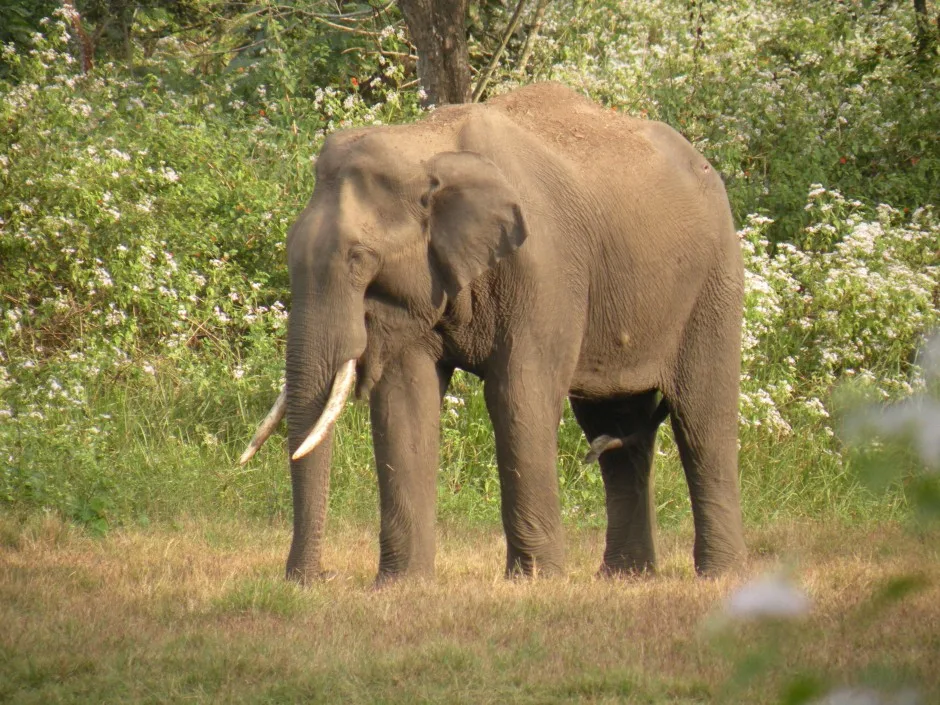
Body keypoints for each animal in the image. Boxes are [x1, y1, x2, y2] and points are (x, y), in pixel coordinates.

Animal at [240, 82, 747, 584]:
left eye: (358, 258)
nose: (318, 578)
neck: (425, 147)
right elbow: (405, 399)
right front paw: (401, 586)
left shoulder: (544, 268)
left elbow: (518, 394)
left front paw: (535, 581)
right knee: (615, 428)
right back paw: (626, 577)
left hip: (715, 281)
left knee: (702, 419)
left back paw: (719, 576)